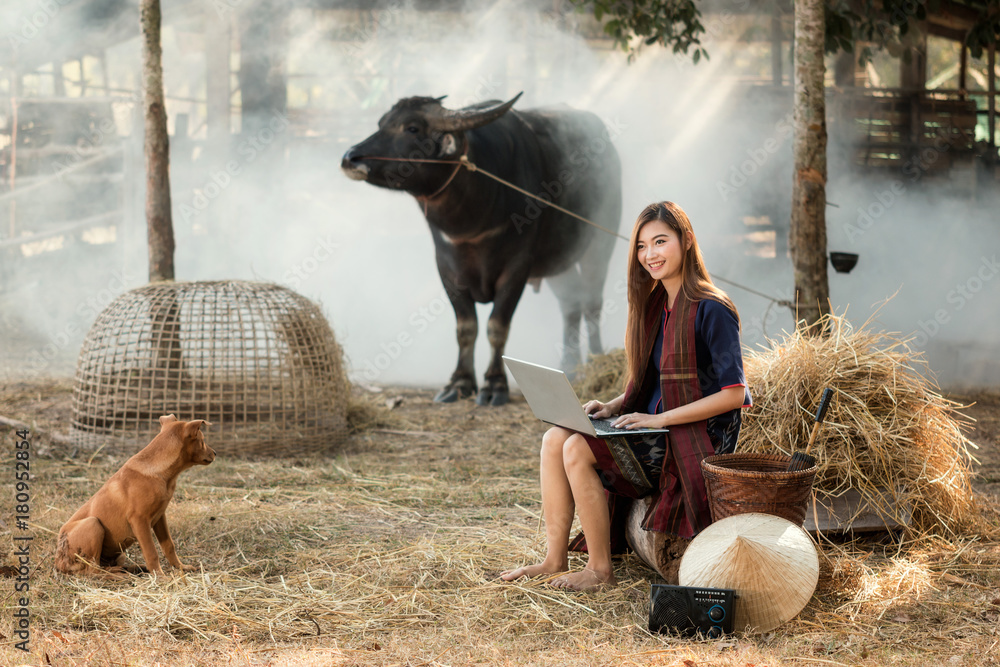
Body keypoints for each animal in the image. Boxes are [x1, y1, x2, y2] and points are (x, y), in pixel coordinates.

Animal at [54, 414, 215, 576]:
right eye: (202, 440)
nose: (215, 453)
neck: (159, 471)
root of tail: (59, 562)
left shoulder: (160, 516)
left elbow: (169, 545)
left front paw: (181, 567)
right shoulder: (139, 520)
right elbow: (151, 552)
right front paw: (161, 577)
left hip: (118, 554)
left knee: (104, 566)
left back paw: (133, 569)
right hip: (92, 524)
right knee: (93, 570)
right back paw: (121, 576)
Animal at [342, 94, 616, 408]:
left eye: (412, 128)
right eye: (381, 123)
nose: (350, 158)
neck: (472, 217)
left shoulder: (516, 268)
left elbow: (497, 327)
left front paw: (494, 385)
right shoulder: (447, 269)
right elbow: (466, 328)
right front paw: (459, 383)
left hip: (600, 243)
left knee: (592, 302)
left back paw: (596, 360)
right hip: (560, 260)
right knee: (570, 305)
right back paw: (569, 367)